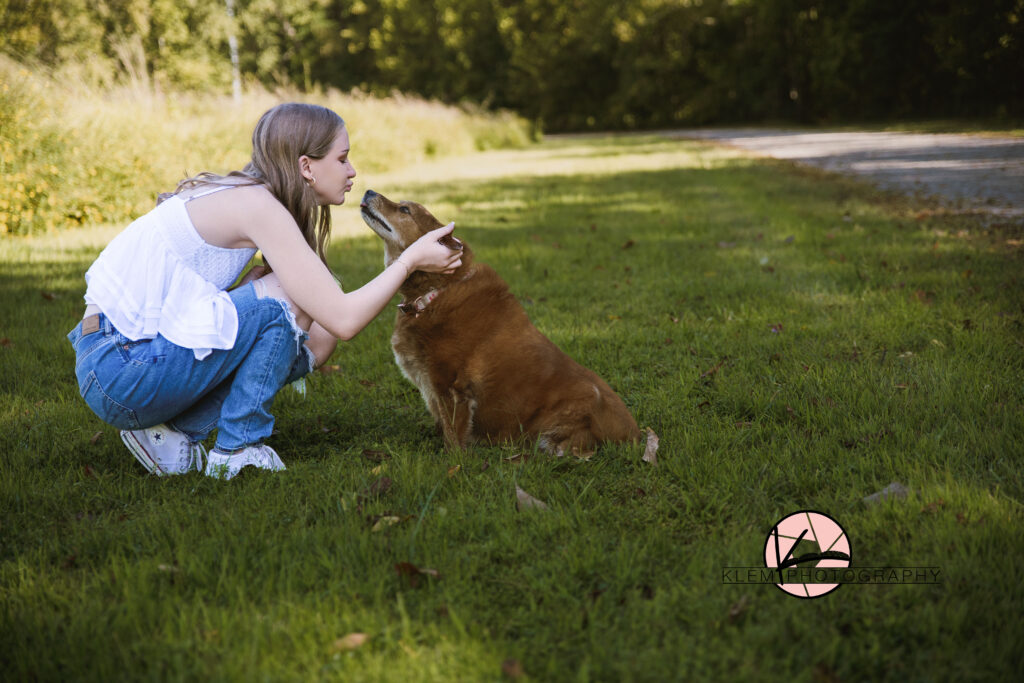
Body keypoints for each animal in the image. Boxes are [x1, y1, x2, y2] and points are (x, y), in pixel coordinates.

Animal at [362, 189, 638, 456]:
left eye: (404, 209)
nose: (367, 191)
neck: (436, 290)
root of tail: (632, 434)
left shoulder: (451, 386)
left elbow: (453, 436)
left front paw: (451, 463)